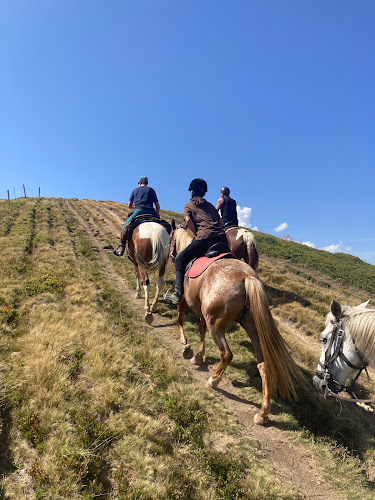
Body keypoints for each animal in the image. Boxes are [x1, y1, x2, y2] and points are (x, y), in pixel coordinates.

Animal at [169, 224, 304, 426]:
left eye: (170, 237)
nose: (170, 254)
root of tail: (247, 277)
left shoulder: (186, 300)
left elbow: (180, 319)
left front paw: (187, 347)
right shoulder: (203, 314)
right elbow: (201, 330)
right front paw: (199, 356)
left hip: (216, 324)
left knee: (226, 354)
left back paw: (214, 380)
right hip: (253, 328)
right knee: (263, 365)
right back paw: (263, 413)